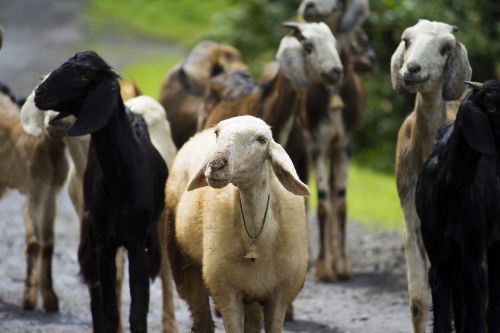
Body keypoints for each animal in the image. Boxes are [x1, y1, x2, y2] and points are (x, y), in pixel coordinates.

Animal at [35, 50, 169, 332]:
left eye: (84, 76)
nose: (40, 93)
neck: (121, 179)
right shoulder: (103, 243)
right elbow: (109, 312)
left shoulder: (137, 245)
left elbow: (137, 315)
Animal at [166, 115, 310, 332]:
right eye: (218, 133)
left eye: (261, 139)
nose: (215, 165)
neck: (256, 236)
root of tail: (199, 134)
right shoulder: (227, 293)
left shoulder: (280, 296)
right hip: (184, 263)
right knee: (202, 320)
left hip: (252, 292)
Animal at [416, 80, 500, 332]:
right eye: (491, 107)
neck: (451, 187)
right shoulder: (439, 262)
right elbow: (444, 320)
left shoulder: (473, 260)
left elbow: (475, 320)